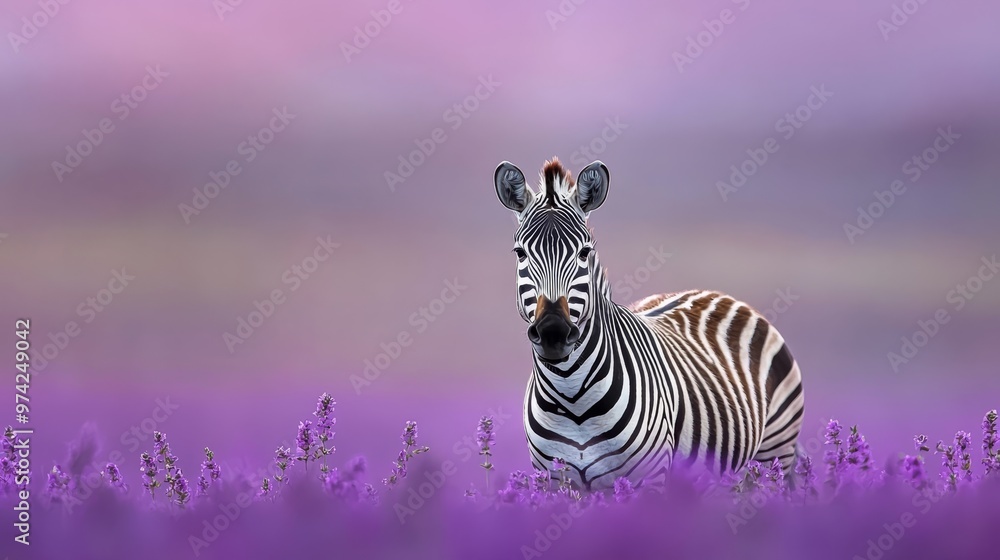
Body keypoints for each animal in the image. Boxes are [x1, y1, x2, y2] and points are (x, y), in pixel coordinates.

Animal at [493, 158, 805, 491]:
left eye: (584, 253)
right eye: (520, 253)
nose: (553, 332)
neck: (571, 396)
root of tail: (719, 294)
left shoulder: (649, 479)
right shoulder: (553, 483)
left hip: (774, 454)